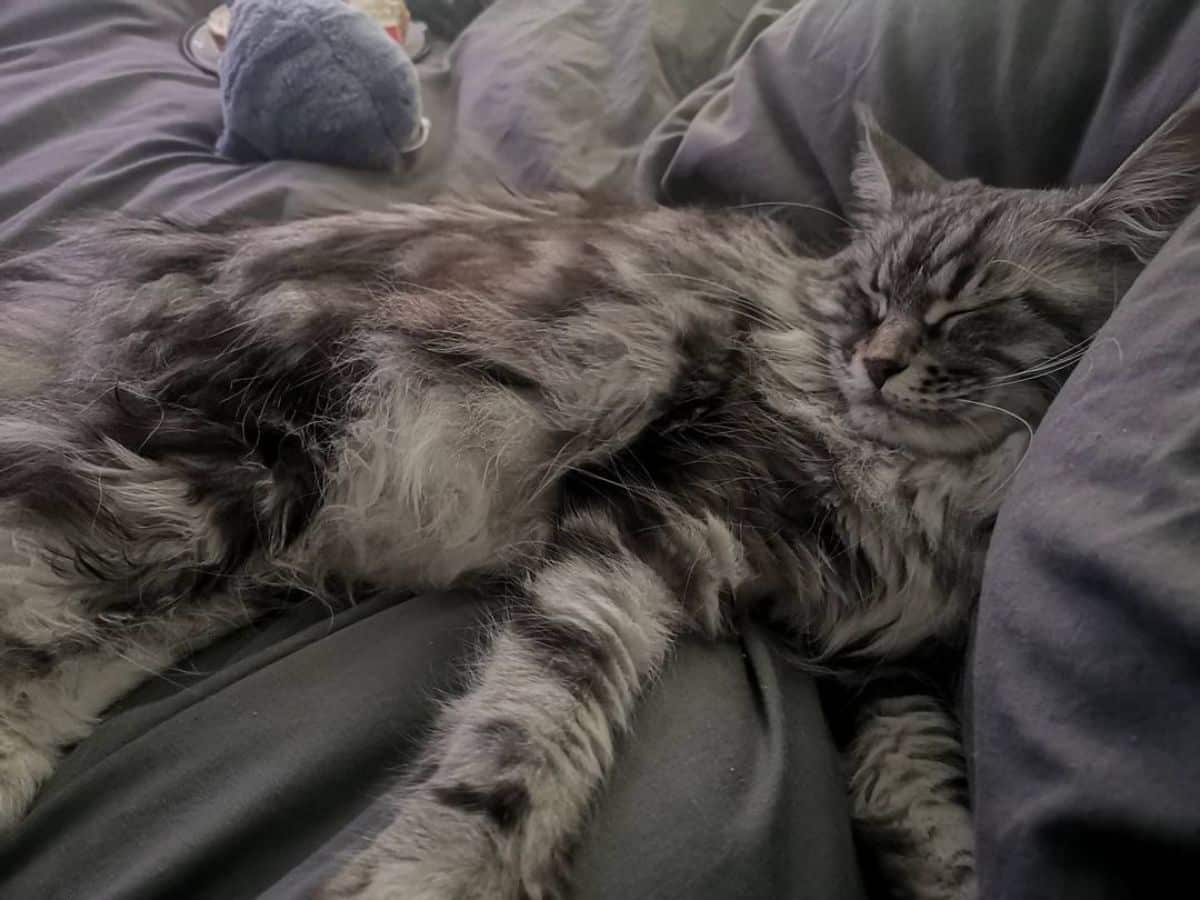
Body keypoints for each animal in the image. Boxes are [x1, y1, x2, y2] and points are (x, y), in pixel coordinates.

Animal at [0, 107, 1195, 900]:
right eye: (867, 296)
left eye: (969, 310)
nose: (876, 361)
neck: (927, 500)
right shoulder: (651, 520)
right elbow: (523, 731)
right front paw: (433, 874)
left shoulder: (881, 660)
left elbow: (917, 783)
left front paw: (948, 869)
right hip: (224, 485)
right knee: (32, 591)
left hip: (249, 552)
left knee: (69, 659)